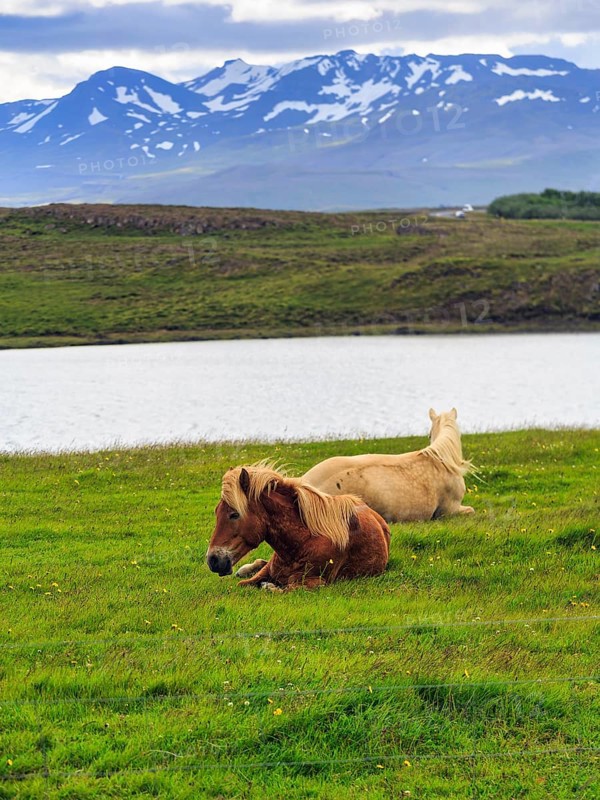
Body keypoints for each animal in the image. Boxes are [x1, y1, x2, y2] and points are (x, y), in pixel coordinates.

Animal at [206, 463, 390, 591]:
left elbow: (282, 588)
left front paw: (269, 586)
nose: (212, 560)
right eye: (217, 512)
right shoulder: (267, 571)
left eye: (234, 514)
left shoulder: (317, 582)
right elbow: (244, 583)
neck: (303, 541)